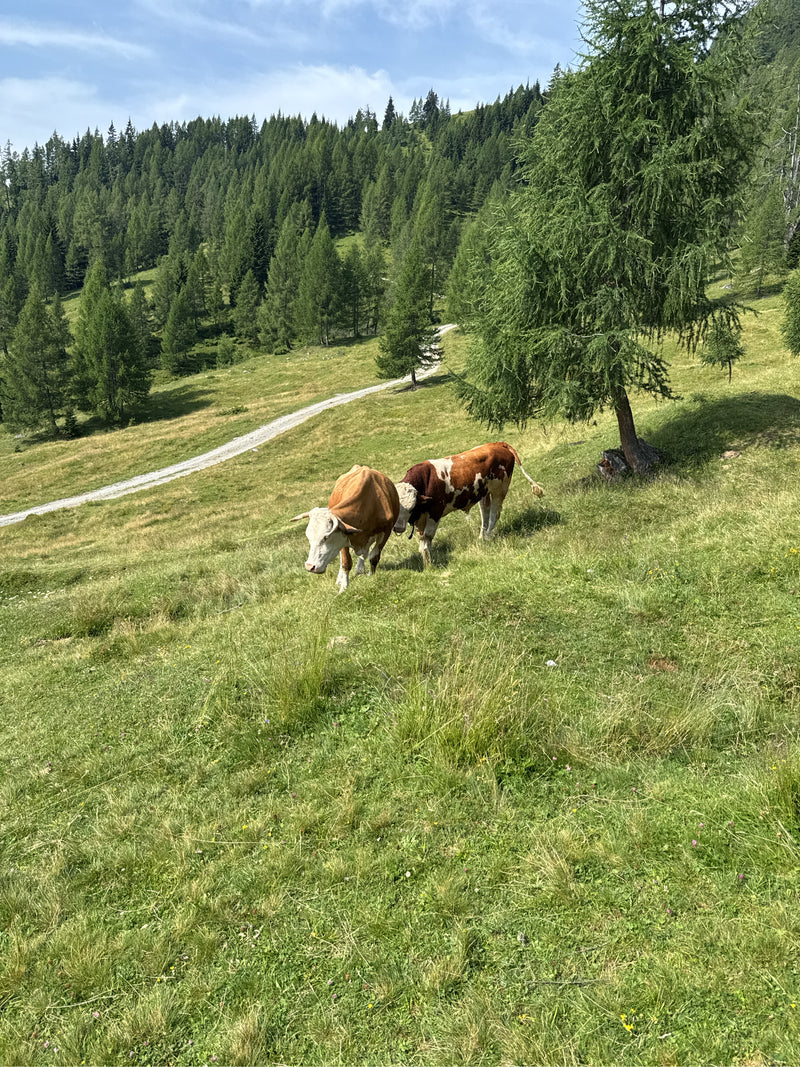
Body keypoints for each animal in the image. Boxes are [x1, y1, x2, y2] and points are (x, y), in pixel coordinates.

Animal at [393, 442, 544, 566]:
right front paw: (426, 561)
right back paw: (482, 537)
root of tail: (497, 444)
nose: (398, 528)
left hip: (499, 489)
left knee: (494, 513)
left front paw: (429, 563)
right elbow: (422, 541)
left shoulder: (435, 512)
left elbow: (427, 538)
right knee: (485, 512)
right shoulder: (421, 518)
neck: (425, 481)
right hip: (484, 492)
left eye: (411, 507)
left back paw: (489, 535)